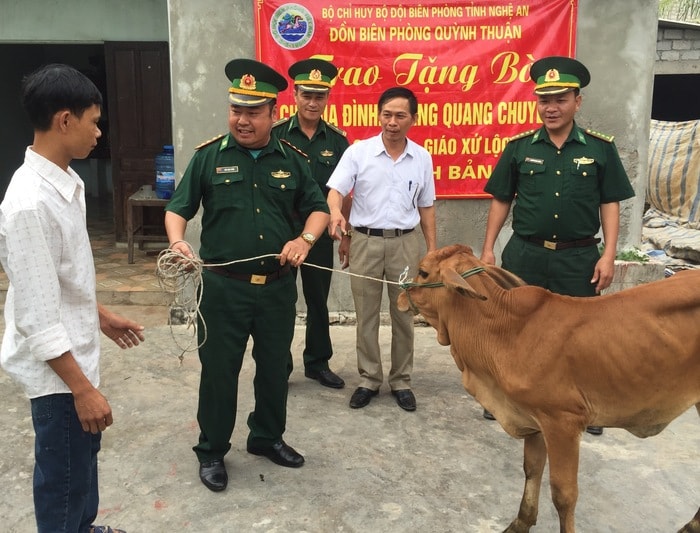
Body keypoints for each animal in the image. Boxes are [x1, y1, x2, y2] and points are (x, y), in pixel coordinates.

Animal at [396, 243, 696, 528]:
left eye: (423, 271)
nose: (400, 296)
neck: (508, 329)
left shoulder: (563, 422)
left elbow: (564, 495)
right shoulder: (534, 420)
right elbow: (532, 470)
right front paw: (521, 523)